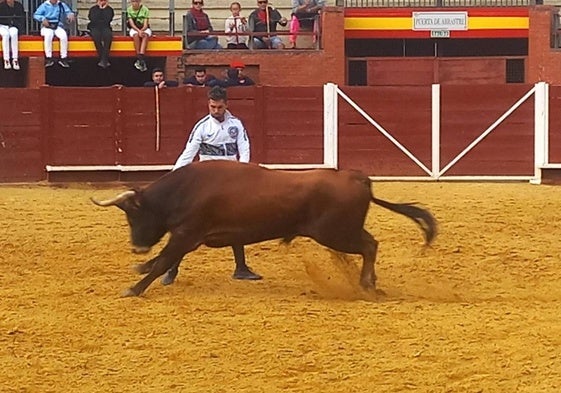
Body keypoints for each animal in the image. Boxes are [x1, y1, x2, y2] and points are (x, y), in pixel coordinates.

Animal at [92, 159, 436, 294]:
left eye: (133, 216)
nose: (136, 247)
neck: (186, 189)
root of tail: (357, 177)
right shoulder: (188, 237)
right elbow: (166, 259)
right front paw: (140, 269)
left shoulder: (187, 234)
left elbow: (165, 259)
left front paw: (134, 288)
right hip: (342, 231)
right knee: (369, 245)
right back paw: (370, 283)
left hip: (337, 233)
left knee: (369, 245)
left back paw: (365, 284)